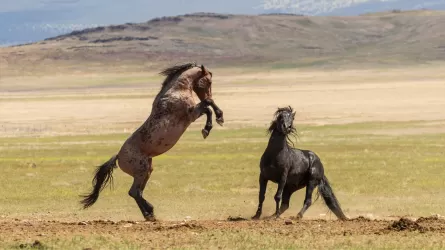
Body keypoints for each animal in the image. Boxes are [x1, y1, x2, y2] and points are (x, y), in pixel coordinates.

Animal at [79, 63, 222, 221]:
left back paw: (149, 214)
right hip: (141, 171)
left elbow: (208, 106)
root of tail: (118, 156)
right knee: (134, 192)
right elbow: (208, 106)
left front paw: (216, 121)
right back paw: (150, 213)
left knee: (137, 192)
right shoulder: (192, 113)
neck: (176, 92)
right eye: (208, 81)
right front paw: (211, 125)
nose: (208, 94)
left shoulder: (194, 112)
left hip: (147, 170)